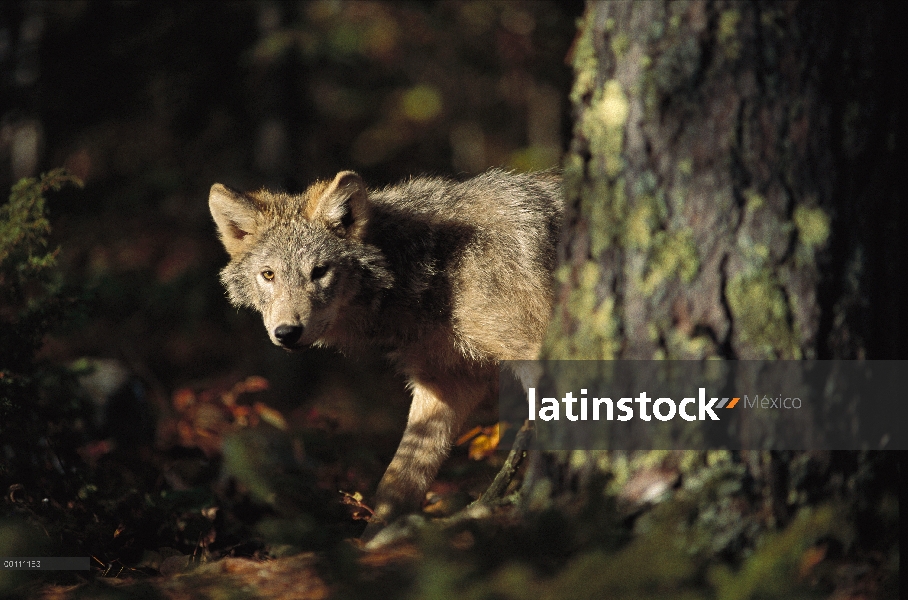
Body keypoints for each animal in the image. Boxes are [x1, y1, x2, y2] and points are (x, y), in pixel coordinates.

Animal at [210, 168, 564, 536]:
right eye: (268, 275)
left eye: (319, 271)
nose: (287, 333)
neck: (436, 264)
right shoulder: (449, 381)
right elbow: (398, 479)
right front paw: (374, 539)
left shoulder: (535, 357)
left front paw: (537, 506)